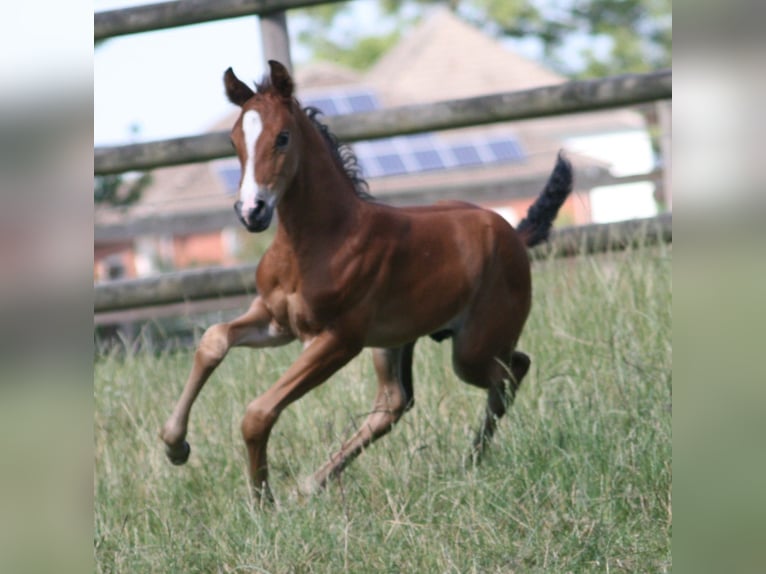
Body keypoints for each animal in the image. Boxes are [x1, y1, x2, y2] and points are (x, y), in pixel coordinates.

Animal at [159, 60, 572, 502]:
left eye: (282, 137)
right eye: (234, 139)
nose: (251, 211)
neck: (318, 240)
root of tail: (514, 233)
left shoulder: (339, 340)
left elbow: (258, 411)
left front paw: (262, 500)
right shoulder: (276, 320)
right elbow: (214, 340)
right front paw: (175, 446)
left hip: (472, 349)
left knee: (512, 371)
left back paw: (472, 457)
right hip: (394, 342)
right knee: (394, 403)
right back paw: (313, 483)